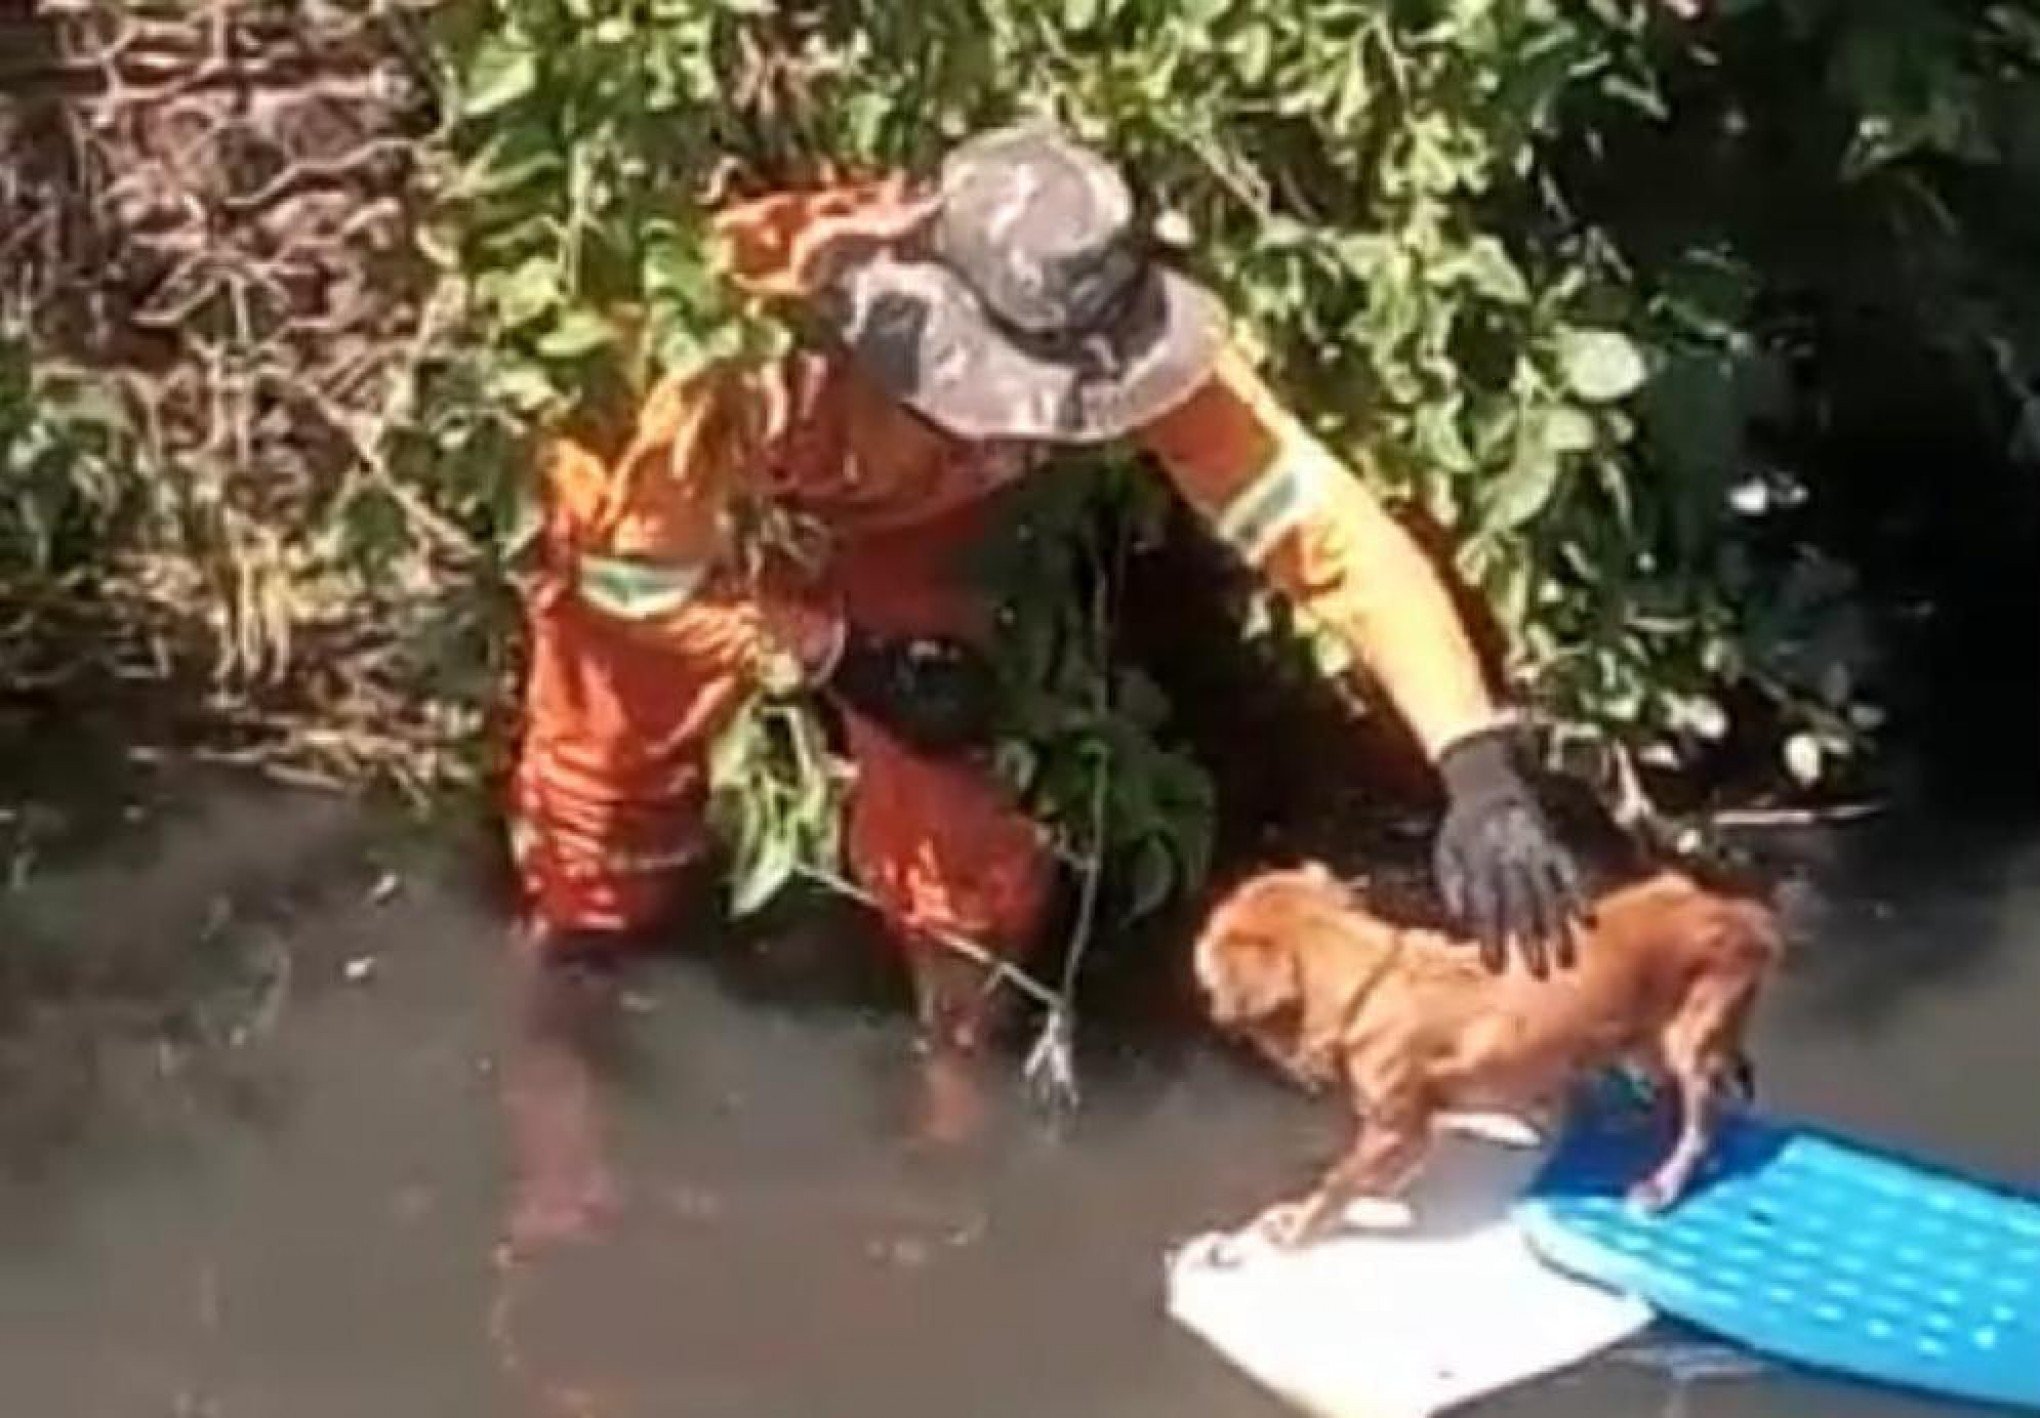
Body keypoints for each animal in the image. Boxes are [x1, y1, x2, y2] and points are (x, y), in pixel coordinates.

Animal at [1191, 861, 1778, 1248]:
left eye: (1209, 948)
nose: (1192, 942)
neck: (1371, 979)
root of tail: (1740, 914)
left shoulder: (1396, 1131)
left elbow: (1339, 1181)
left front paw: (1297, 1224)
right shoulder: (1410, 1133)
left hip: (1689, 1043)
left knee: (1701, 1125)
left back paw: (1664, 1181)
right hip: (1649, 1041)